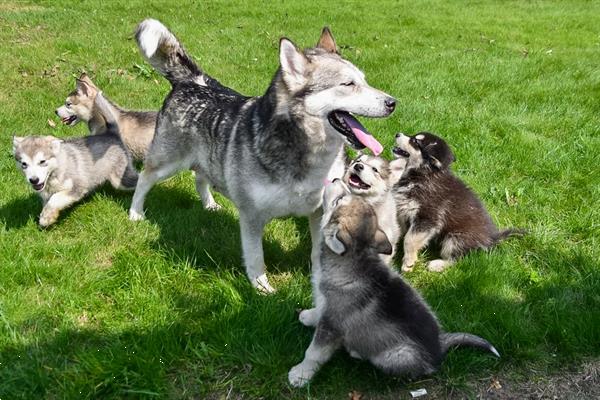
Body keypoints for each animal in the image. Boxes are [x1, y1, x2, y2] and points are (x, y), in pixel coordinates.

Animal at [14, 92, 138, 227]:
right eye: (24, 164)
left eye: (42, 162)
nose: (34, 180)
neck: (56, 171)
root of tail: (111, 134)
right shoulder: (46, 194)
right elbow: (48, 202)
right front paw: (48, 216)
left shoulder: (77, 187)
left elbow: (56, 199)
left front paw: (46, 218)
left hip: (120, 179)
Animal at [129, 18, 396, 292]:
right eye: (348, 84)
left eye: (364, 80)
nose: (392, 103)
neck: (308, 153)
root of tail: (192, 81)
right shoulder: (252, 216)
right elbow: (256, 257)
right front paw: (262, 288)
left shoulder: (320, 211)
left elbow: (317, 252)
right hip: (166, 162)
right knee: (144, 178)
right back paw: (135, 213)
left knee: (200, 177)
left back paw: (209, 204)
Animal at [288, 180, 500, 386]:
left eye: (338, 200)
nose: (335, 178)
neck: (354, 257)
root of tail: (440, 345)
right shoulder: (327, 307)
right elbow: (319, 311)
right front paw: (309, 316)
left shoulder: (332, 325)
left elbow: (314, 352)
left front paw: (300, 375)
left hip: (394, 355)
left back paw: (357, 352)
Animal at [392, 131, 524, 272]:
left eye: (416, 142)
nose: (397, 134)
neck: (421, 176)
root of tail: (492, 238)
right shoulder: (402, 209)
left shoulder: (427, 217)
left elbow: (409, 239)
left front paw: (408, 262)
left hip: (454, 239)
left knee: (459, 259)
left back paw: (437, 264)